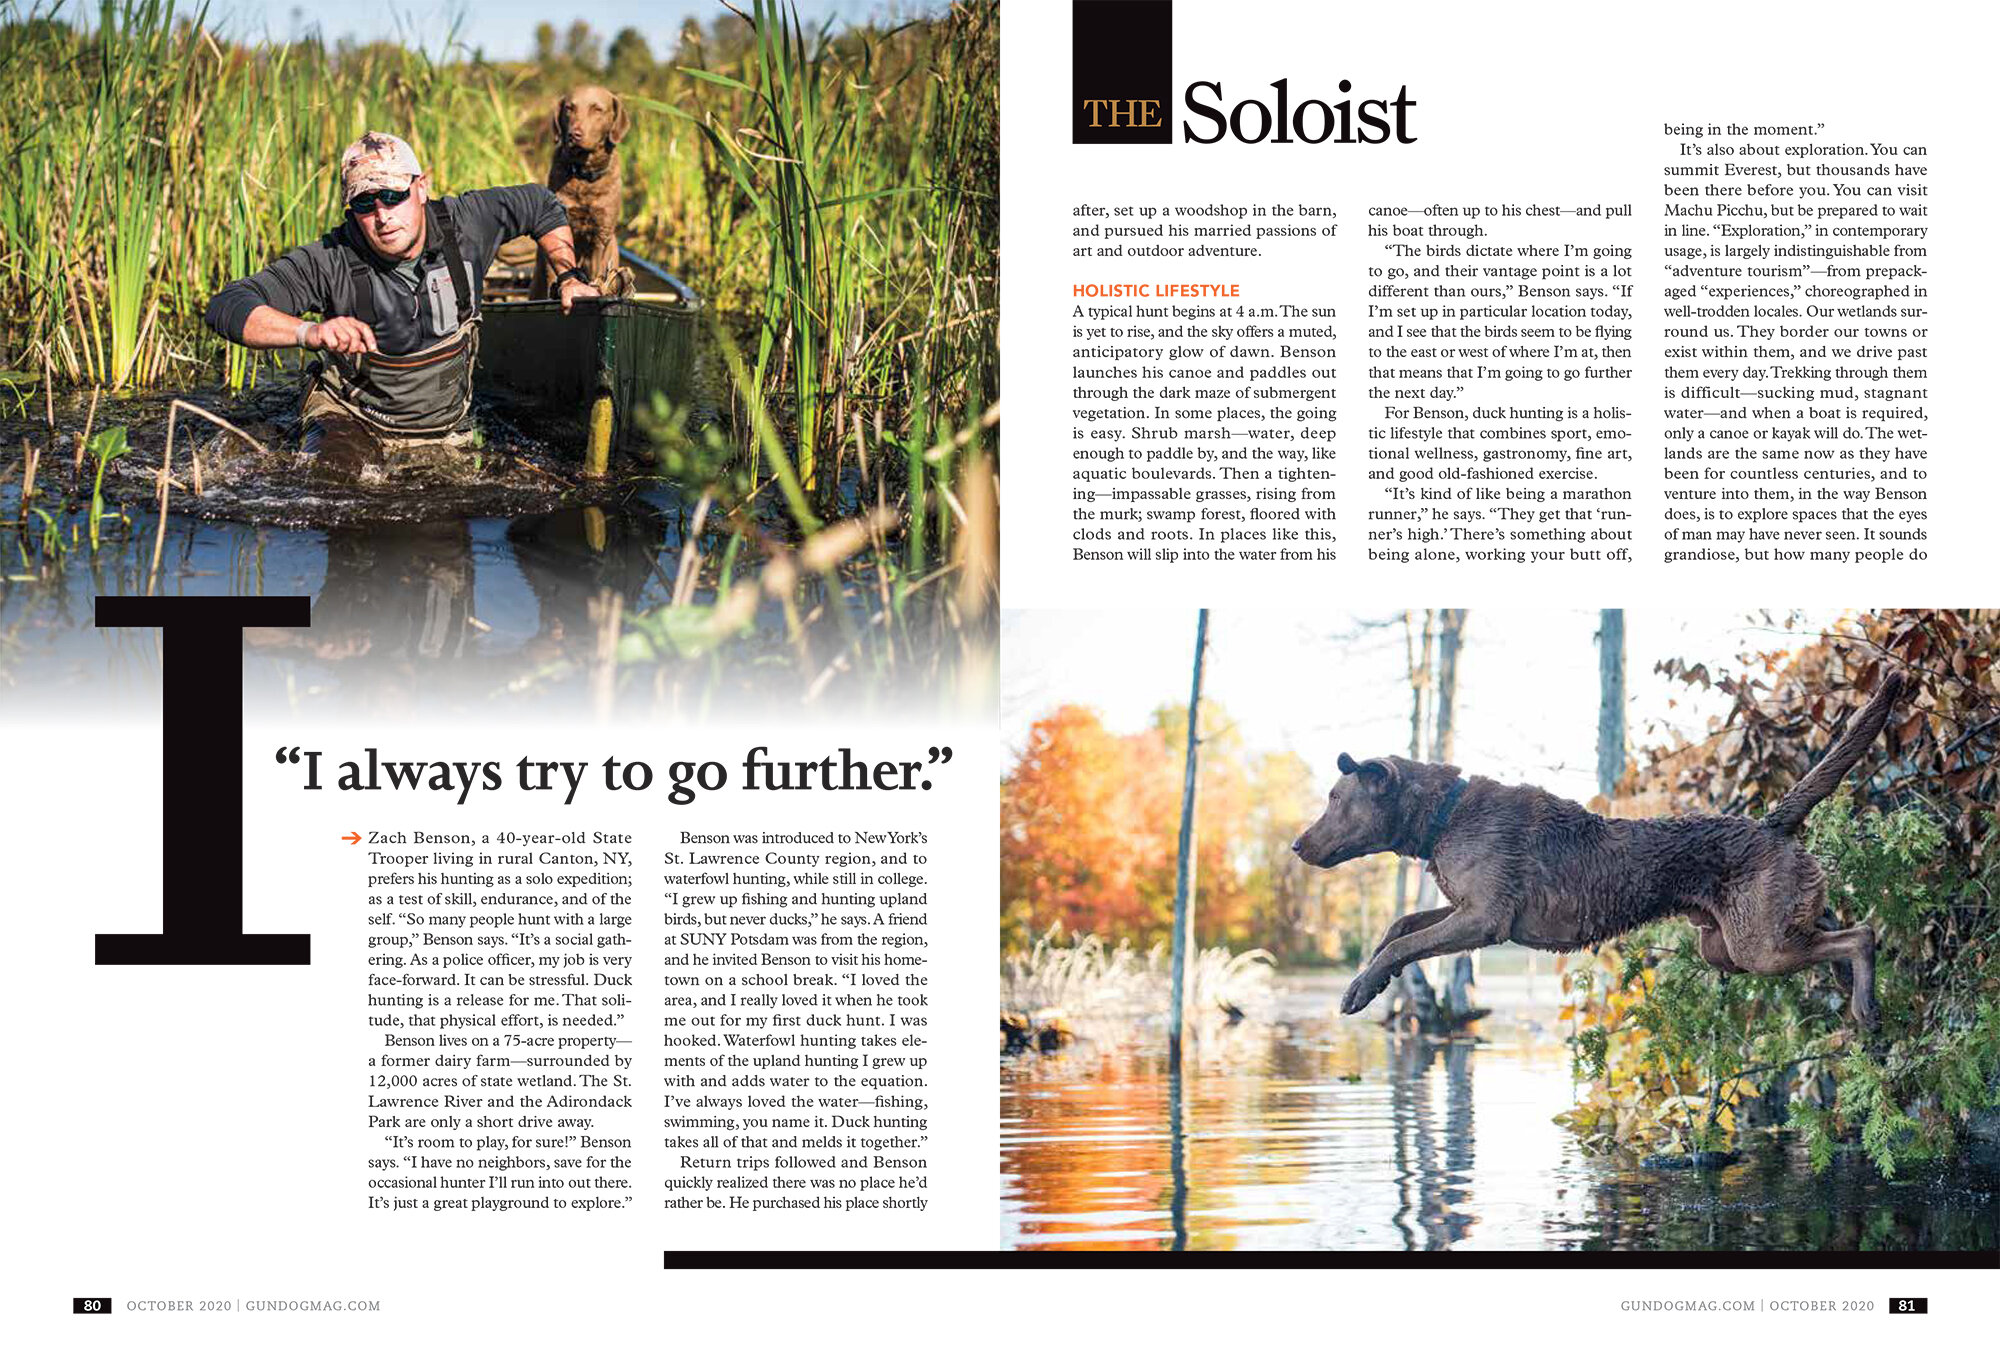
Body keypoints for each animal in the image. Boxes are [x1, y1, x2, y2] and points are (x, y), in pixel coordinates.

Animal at [1296, 675, 1904, 1023]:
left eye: (1334, 798)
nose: (1298, 845)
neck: (1445, 816)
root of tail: (1771, 824)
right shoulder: (1463, 907)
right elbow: (1399, 928)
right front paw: (1372, 980)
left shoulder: (1484, 919)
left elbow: (1407, 941)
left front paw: (1359, 988)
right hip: (1737, 941)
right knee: (1832, 924)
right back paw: (1855, 993)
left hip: (1757, 948)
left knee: (1862, 934)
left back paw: (1865, 1005)